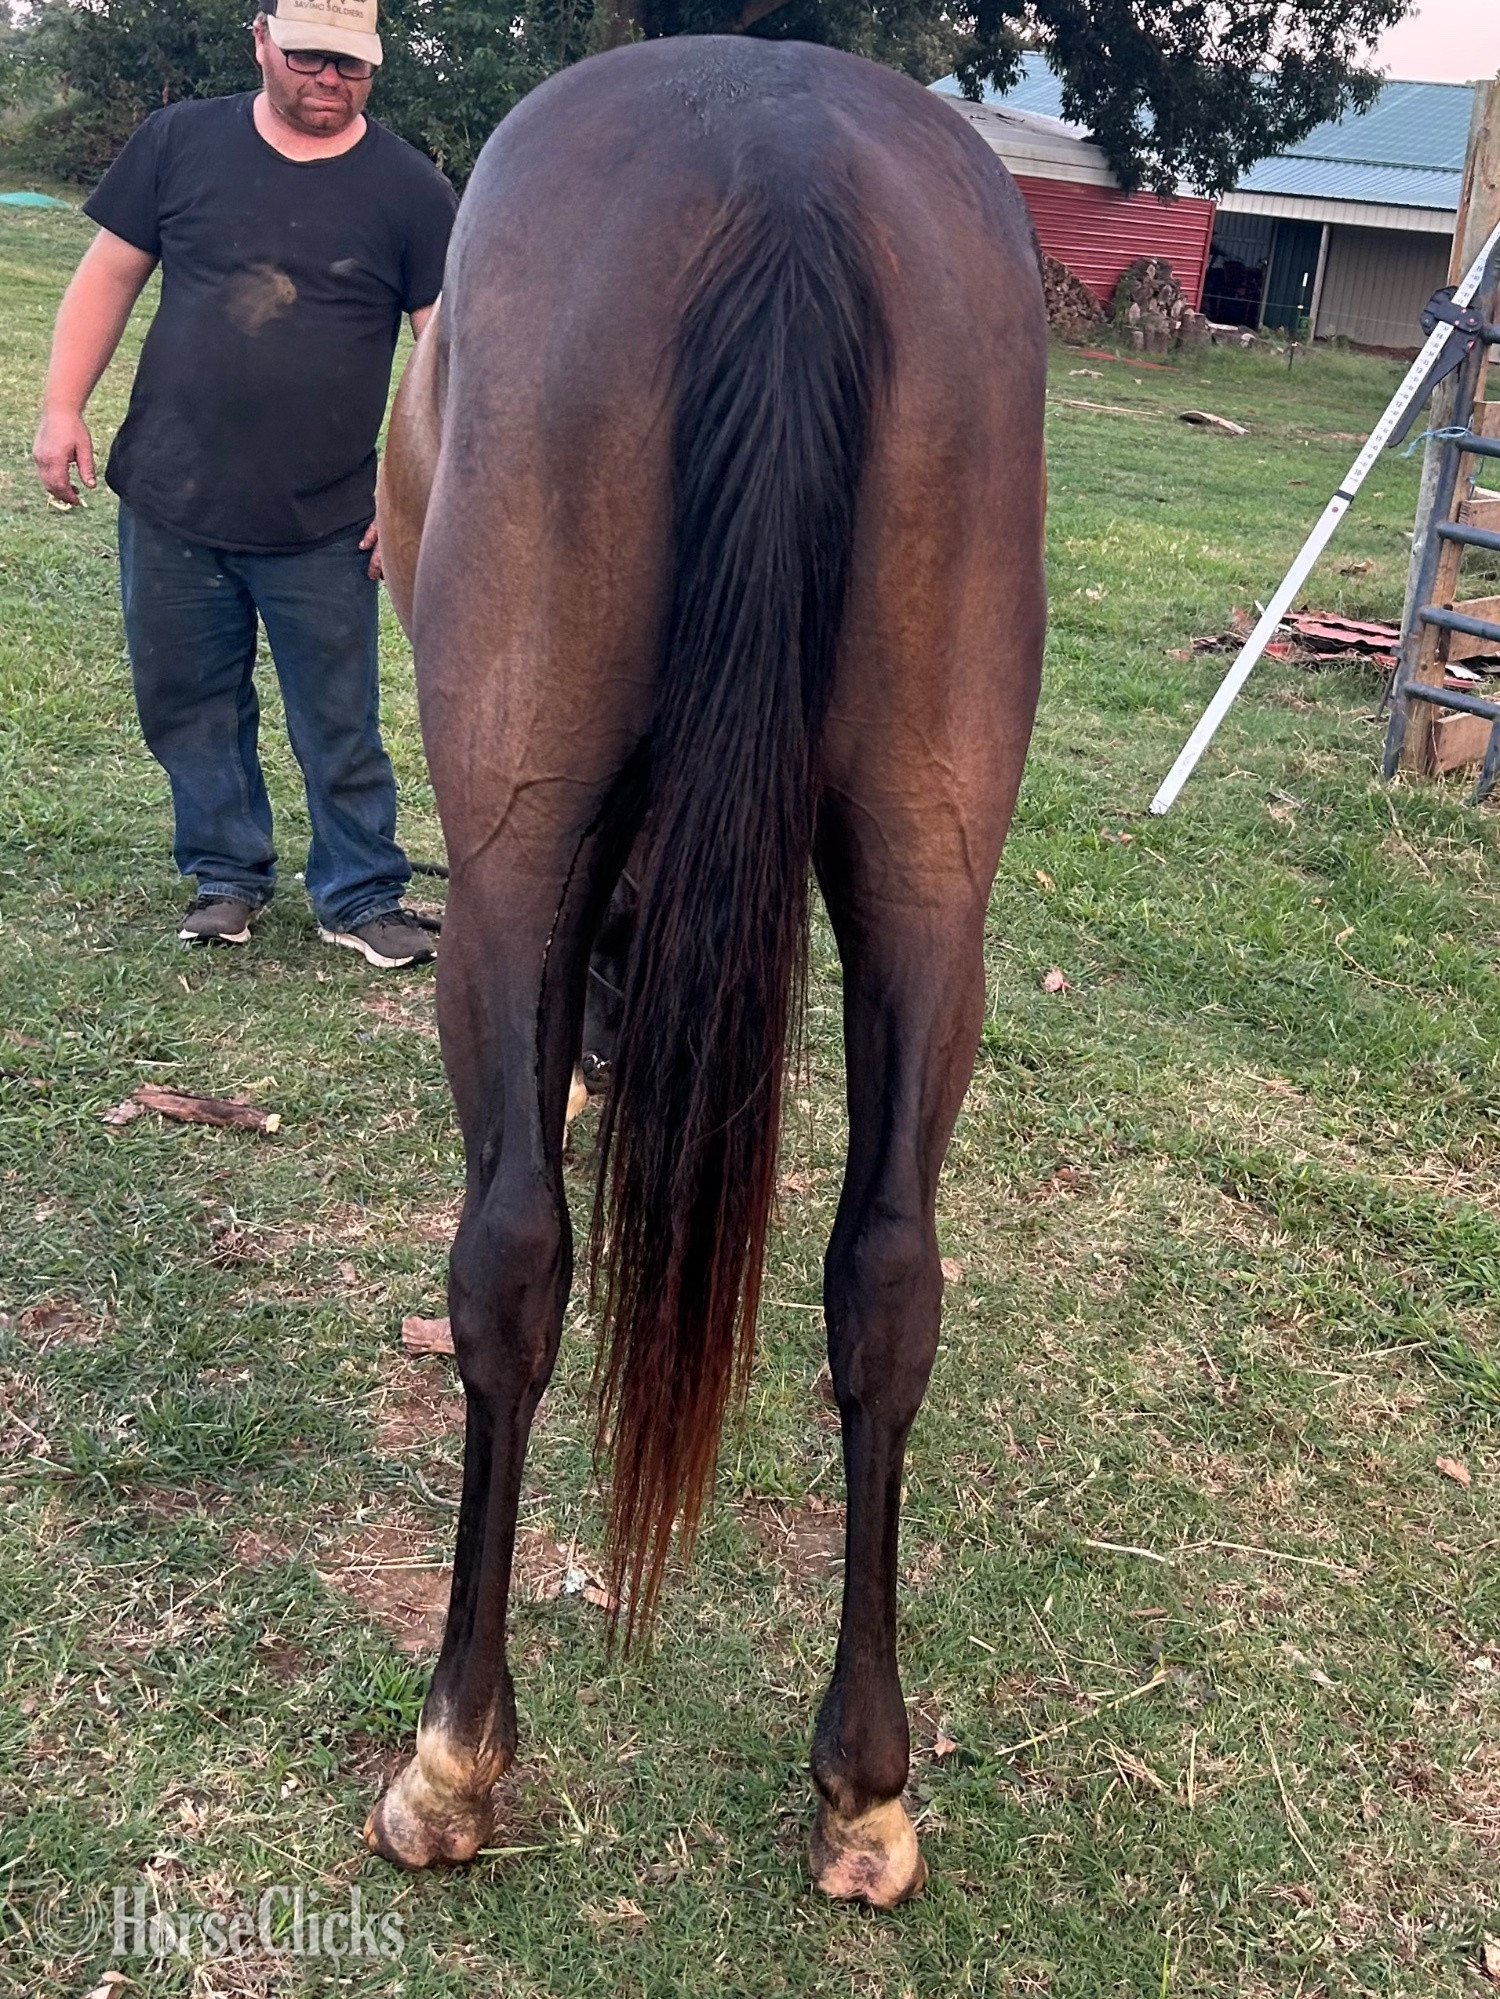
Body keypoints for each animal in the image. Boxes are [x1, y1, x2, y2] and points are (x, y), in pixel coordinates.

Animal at [367, 35, 1046, 1907]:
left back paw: (453, 1753)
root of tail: (784, 152)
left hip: (510, 841)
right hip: (928, 872)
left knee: (513, 1257)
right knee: (889, 1280)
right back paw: (867, 1787)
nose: (609, 1045)